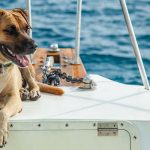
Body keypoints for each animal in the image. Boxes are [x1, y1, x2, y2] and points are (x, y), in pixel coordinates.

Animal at [0, 7, 63, 146]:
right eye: (10, 30)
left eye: (27, 28)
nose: (35, 46)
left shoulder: (13, 98)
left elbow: (2, 112)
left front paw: (1, 132)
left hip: (27, 67)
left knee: (31, 82)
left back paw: (31, 92)